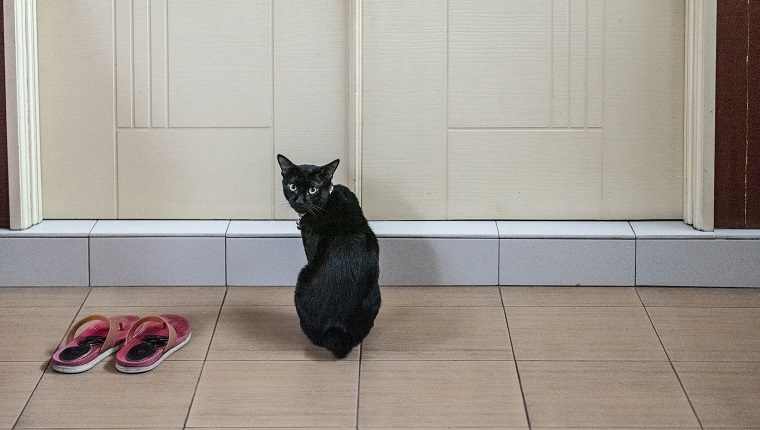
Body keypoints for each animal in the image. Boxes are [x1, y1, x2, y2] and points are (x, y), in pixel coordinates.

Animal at [276, 153, 380, 358]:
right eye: (292, 186)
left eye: (312, 189)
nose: (300, 201)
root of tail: (336, 329)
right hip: (376, 295)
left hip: (302, 278)